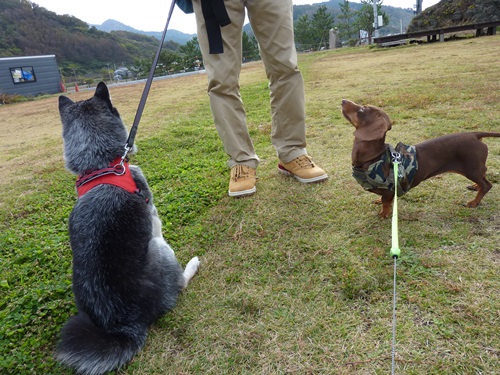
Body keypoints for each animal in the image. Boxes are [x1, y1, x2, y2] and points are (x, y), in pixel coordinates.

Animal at [56, 82, 199, 375]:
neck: (100, 167)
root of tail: (126, 326)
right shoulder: (151, 212)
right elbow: (156, 223)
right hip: (159, 250)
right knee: (179, 285)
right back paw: (191, 266)